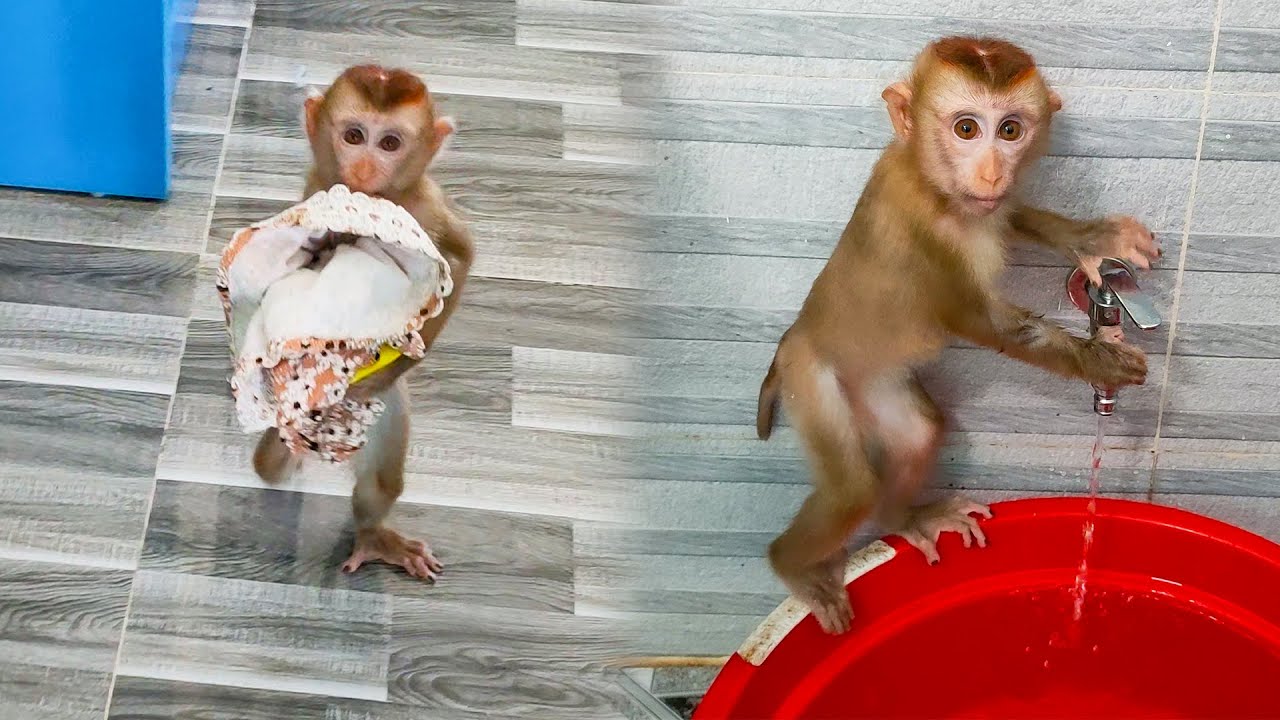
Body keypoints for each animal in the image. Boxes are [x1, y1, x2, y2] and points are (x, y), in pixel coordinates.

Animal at [252, 65, 474, 581]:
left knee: (382, 479)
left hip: (387, 411)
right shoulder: (318, 187)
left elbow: (460, 260)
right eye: (354, 136)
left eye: (390, 143)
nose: (367, 168)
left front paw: (394, 363)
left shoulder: (424, 206)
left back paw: (373, 535)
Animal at [754, 37, 1160, 634]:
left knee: (921, 429)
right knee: (852, 489)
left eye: (1010, 130)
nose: (991, 174)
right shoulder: (920, 232)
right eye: (966, 129)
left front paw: (1092, 239)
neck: (932, 186)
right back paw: (793, 567)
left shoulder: (987, 207)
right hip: (814, 378)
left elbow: (1012, 217)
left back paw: (906, 517)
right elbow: (979, 321)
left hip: (877, 385)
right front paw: (1098, 362)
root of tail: (791, 341)